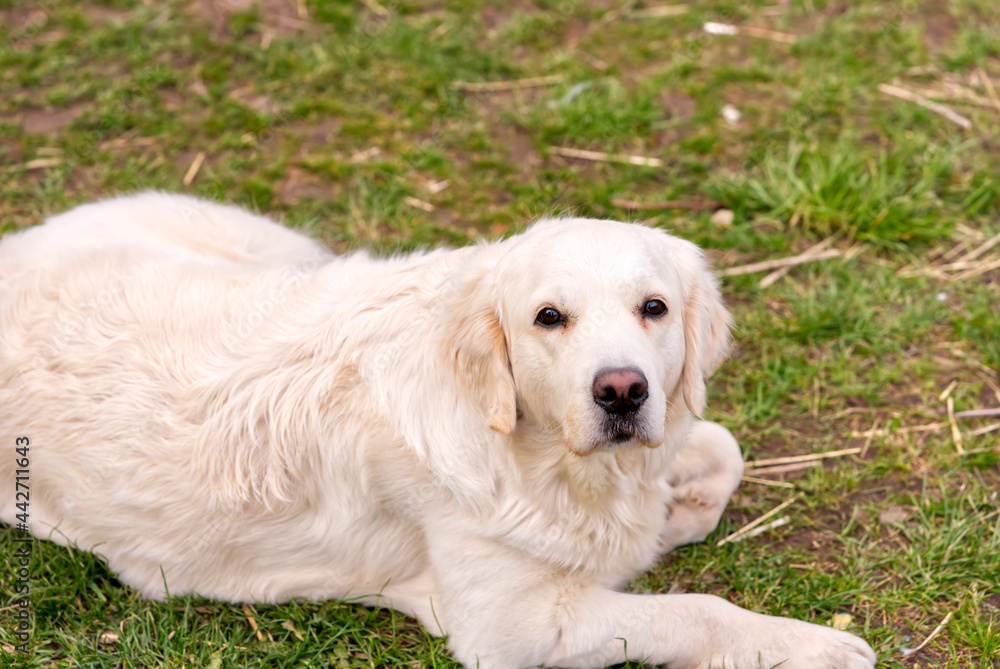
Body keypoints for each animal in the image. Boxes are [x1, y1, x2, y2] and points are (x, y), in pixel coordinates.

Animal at [0, 190, 872, 664]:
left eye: (653, 307)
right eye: (547, 317)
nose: (622, 391)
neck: (546, 460)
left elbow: (722, 447)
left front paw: (673, 514)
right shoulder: (514, 627)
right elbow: (695, 607)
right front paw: (813, 646)